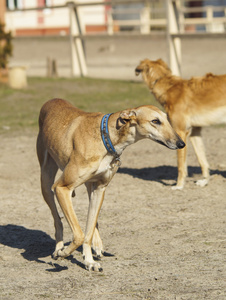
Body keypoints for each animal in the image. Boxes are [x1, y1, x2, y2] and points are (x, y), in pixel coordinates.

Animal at [37, 98, 185, 272]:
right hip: (46, 183)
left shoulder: (100, 189)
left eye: (167, 120)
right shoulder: (62, 188)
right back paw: (58, 249)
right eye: (155, 121)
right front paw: (63, 253)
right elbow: (79, 234)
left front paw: (89, 261)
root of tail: (51, 100)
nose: (181, 143)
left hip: (89, 187)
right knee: (57, 220)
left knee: (90, 224)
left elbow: (87, 232)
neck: (105, 137)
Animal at [135, 58, 226, 190]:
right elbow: (202, 160)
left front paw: (179, 185)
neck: (168, 87)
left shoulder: (180, 132)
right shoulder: (195, 132)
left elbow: (180, 165)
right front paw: (204, 181)